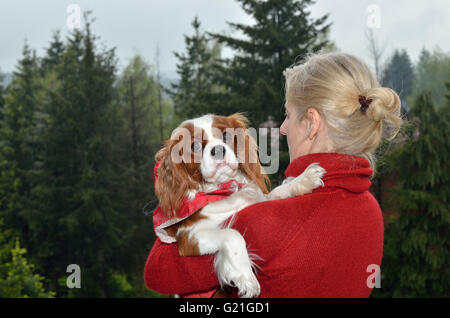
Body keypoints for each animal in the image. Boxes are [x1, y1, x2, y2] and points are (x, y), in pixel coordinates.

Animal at [153, 113, 326, 296]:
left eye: (226, 136)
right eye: (195, 146)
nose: (218, 149)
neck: (226, 189)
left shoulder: (255, 198)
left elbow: (275, 192)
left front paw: (303, 179)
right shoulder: (188, 236)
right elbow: (232, 233)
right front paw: (246, 277)